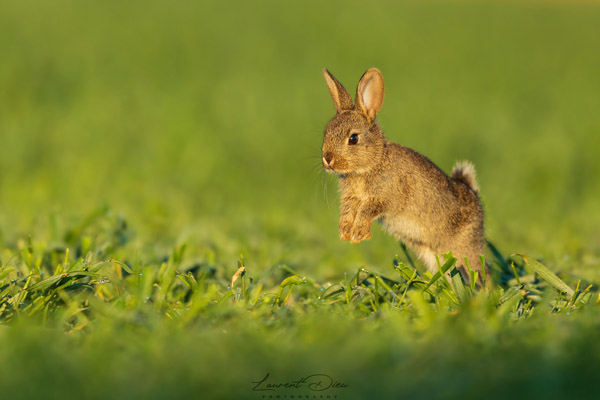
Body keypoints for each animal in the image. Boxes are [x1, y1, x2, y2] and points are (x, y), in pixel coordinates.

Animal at [324, 67, 488, 286]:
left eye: (353, 138)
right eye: (326, 132)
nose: (327, 159)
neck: (374, 162)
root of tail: (474, 195)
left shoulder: (384, 197)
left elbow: (368, 210)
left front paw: (358, 235)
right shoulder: (351, 200)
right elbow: (348, 213)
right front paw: (345, 234)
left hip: (463, 250)